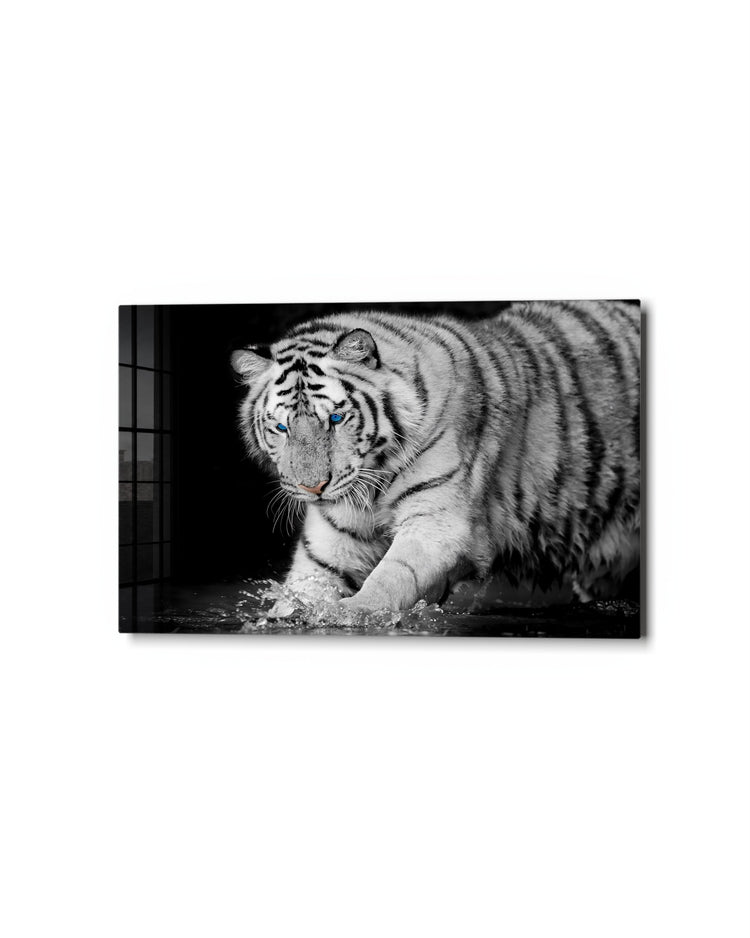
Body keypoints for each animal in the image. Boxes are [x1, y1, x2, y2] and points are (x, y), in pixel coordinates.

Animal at [231, 301, 640, 614]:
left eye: (335, 418)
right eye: (281, 428)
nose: (313, 487)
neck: (372, 482)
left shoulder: (437, 524)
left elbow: (392, 576)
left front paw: (350, 613)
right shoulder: (332, 540)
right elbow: (305, 586)